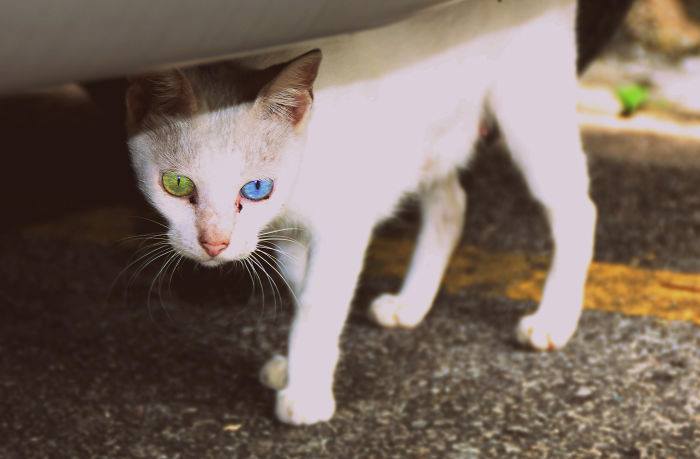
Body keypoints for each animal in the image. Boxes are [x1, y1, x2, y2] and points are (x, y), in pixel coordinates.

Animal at [127, 0, 596, 428]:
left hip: (529, 111)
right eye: (177, 185)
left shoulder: (341, 226)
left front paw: (307, 394)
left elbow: (318, 305)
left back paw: (554, 320)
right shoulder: (286, 234)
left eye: (256, 189)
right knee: (451, 205)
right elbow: (302, 289)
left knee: (578, 209)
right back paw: (411, 304)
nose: (214, 243)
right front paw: (300, 370)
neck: (310, 144)